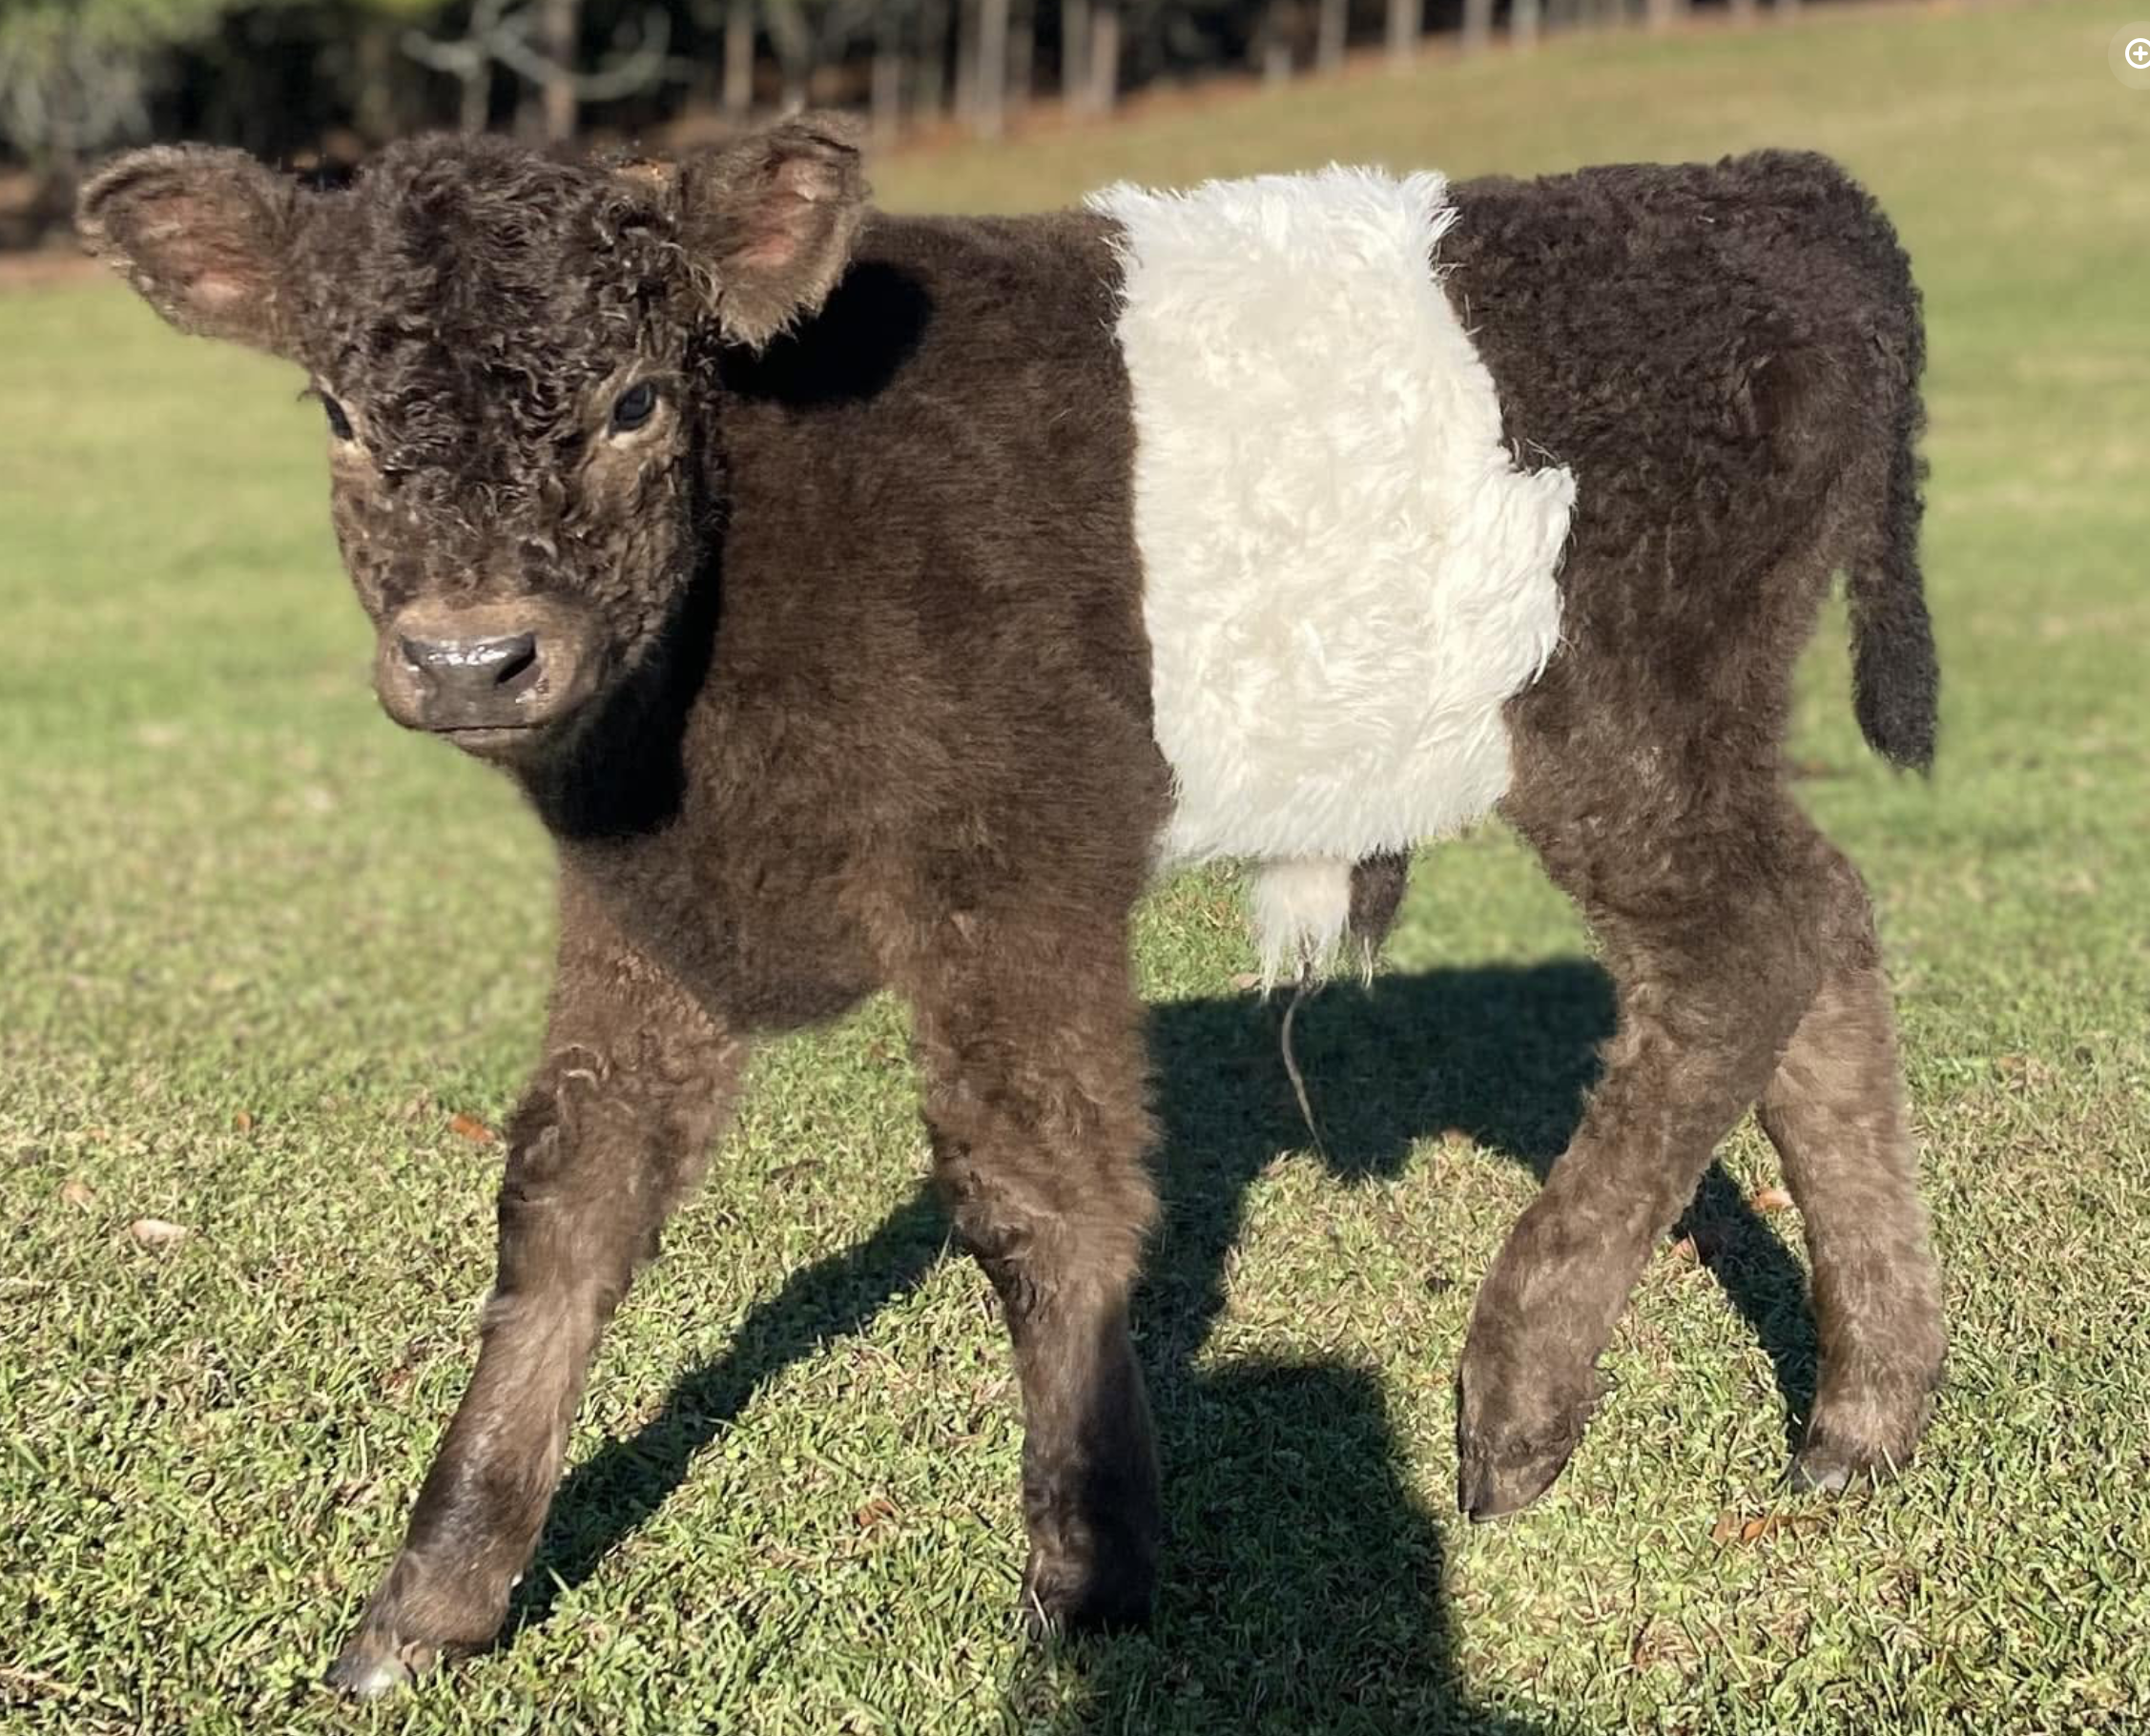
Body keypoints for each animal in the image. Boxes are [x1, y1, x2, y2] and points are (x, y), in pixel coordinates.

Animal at [76, 117, 1945, 1695]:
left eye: (632, 402)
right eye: (337, 416)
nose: (471, 656)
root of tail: (1771, 186)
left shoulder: (1014, 863)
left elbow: (1038, 1197)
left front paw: (1090, 1566)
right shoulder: (648, 907)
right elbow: (569, 1200)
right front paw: (434, 1592)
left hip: (1611, 718)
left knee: (1741, 957)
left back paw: (1521, 1398)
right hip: (1692, 732)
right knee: (1827, 937)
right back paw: (1864, 1415)